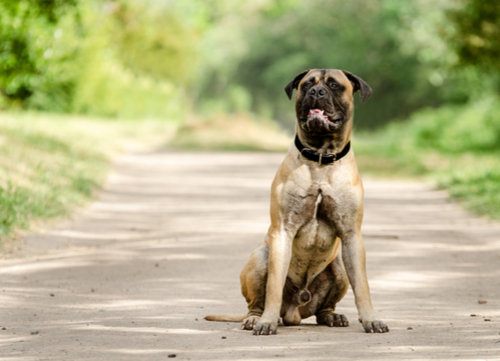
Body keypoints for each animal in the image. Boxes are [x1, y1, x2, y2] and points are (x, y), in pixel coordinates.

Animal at [205, 68, 388, 334]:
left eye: (334, 85)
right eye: (306, 85)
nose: (317, 91)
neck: (321, 158)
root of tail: (295, 311)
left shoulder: (352, 235)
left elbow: (363, 286)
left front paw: (371, 319)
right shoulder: (283, 230)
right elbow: (273, 286)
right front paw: (267, 321)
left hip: (339, 267)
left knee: (325, 308)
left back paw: (333, 317)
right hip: (261, 256)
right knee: (255, 303)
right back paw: (255, 319)